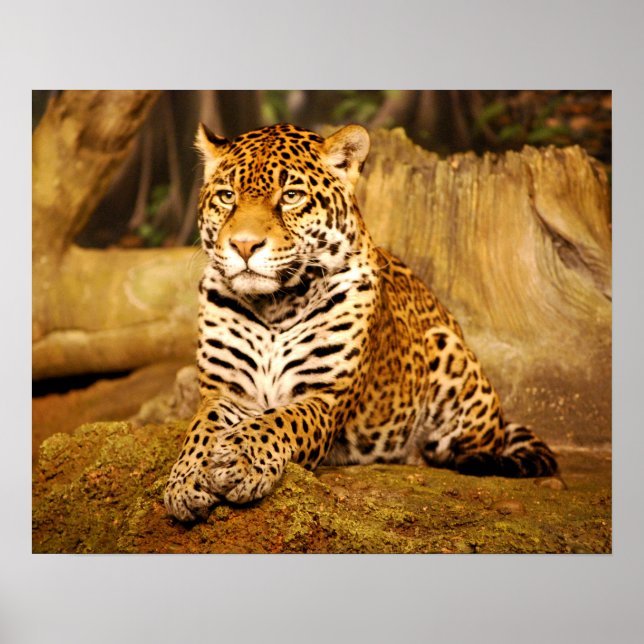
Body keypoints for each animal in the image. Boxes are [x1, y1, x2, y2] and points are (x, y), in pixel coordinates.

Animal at [164, 122, 559, 522]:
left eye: (291, 196)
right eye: (227, 196)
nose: (244, 245)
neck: (275, 306)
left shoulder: (324, 398)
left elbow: (276, 422)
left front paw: (240, 461)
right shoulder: (224, 391)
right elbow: (200, 430)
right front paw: (186, 480)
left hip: (449, 356)